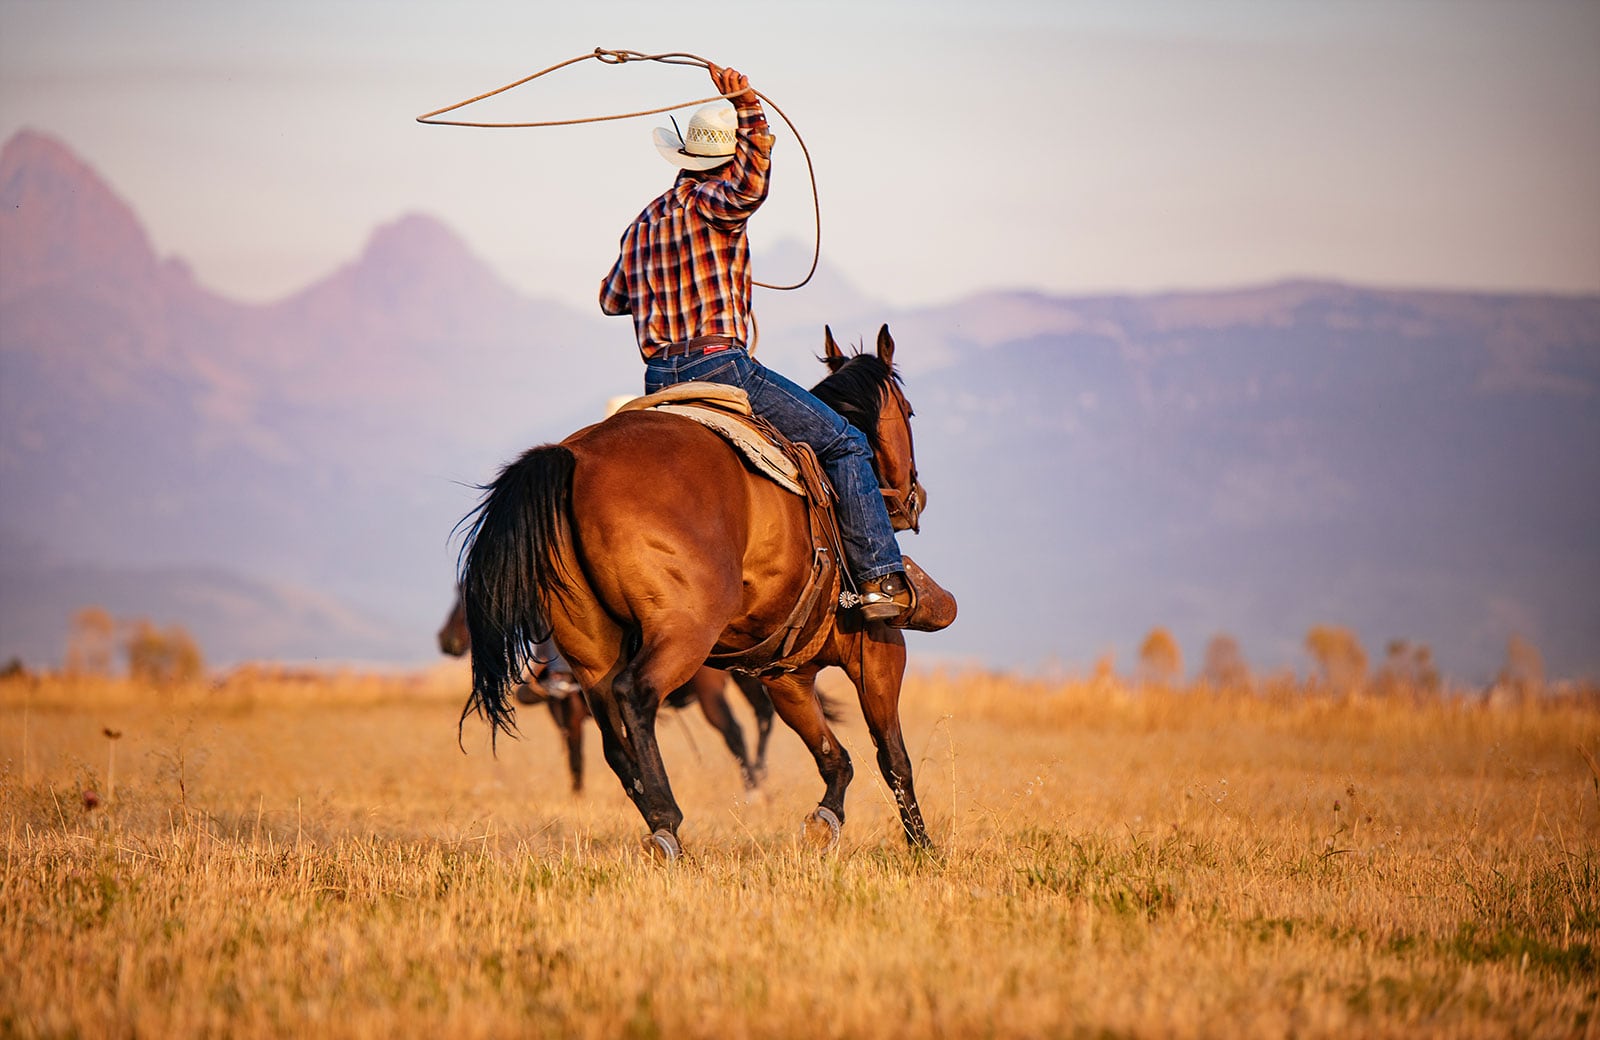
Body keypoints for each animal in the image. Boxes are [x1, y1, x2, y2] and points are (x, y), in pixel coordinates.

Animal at [438, 595, 774, 790]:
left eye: (465, 602)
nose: (447, 640)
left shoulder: (569, 716)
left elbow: (576, 762)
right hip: (745, 678)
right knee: (763, 716)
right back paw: (760, 779)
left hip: (710, 693)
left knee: (733, 731)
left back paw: (752, 788)